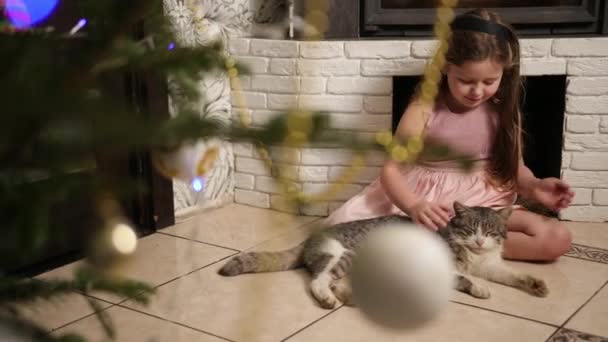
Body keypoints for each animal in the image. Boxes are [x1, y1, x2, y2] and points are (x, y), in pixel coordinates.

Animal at [217, 202, 548, 308]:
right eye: (470, 230)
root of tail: (310, 238)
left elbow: (510, 274)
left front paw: (535, 284)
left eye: (490, 232)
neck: (473, 256)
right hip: (344, 256)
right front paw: (478, 287)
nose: (479, 241)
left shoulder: (491, 265)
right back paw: (328, 298)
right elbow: (464, 277)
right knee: (318, 280)